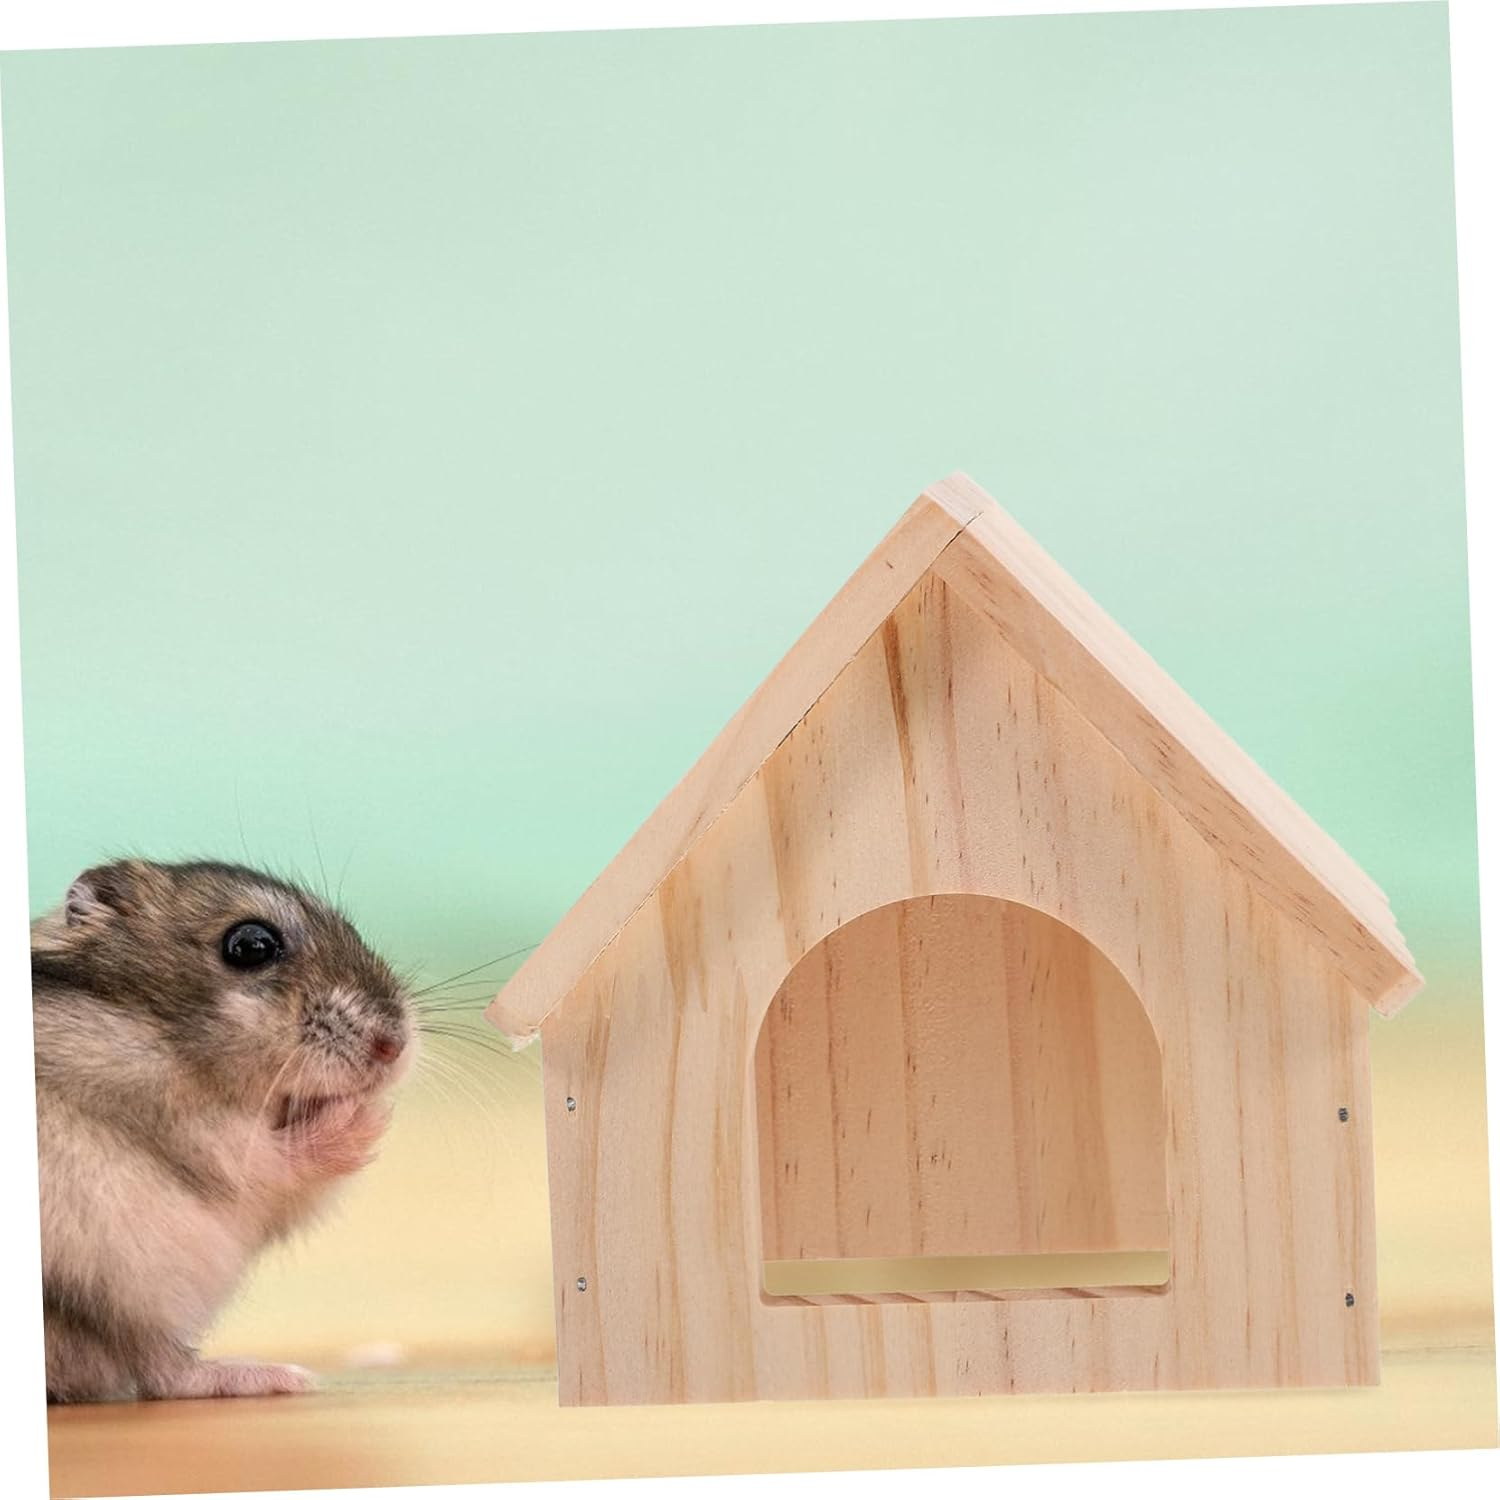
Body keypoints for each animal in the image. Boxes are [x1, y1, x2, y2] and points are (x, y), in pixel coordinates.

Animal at [30, 858, 415, 1403]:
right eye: (252, 945)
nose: (395, 1046)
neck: (157, 1032)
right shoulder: (191, 1125)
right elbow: (260, 1155)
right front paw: (363, 1116)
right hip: (122, 1268)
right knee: (160, 1370)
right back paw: (279, 1376)